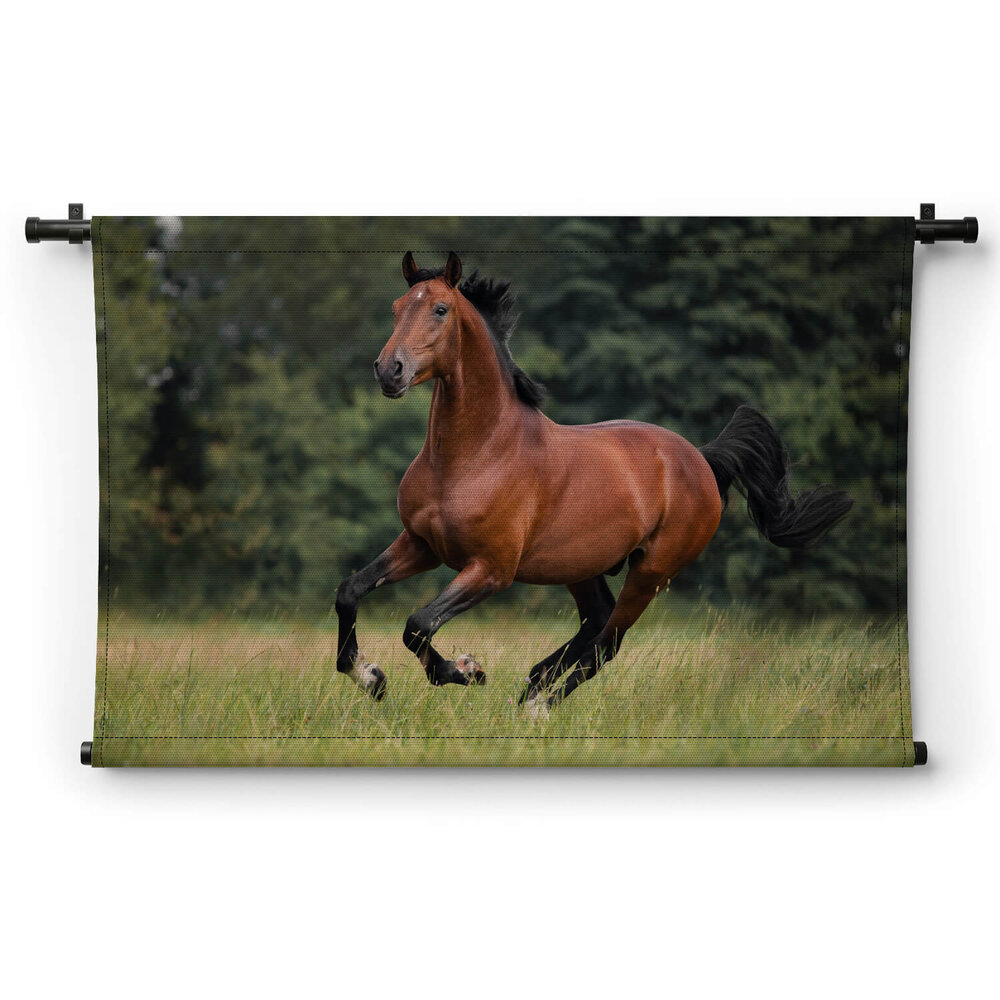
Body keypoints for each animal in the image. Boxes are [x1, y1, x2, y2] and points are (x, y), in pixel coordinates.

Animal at [335, 252, 853, 709]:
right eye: (397, 308)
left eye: (440, 309)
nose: (389, 370)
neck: (474, 455)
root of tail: (702, 460)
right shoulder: (422, 544)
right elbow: (351, 592)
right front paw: (370, 677)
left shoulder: (492, 569)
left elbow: (419, 622)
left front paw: (466, 669)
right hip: (582, 566)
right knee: (595, 625)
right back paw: (534, 684)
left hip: (651, 573)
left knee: (607, 642)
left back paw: (536, 705)